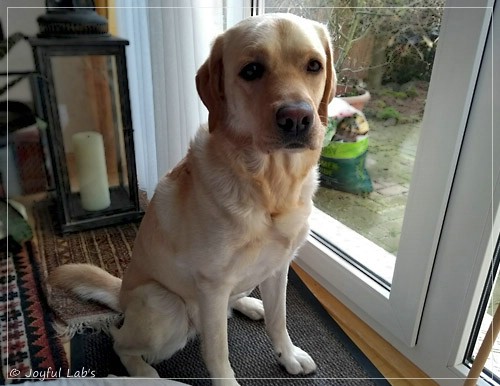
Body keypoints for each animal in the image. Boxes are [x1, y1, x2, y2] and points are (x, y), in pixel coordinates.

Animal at [49, 13, 336, 384]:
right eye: (251, 70)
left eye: (314, 65)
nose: (297, 118)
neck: (270, 185)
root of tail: (123, 291)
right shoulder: (212, 287)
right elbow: (217, 352)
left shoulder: (278, 268)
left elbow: (279, 320)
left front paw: (287, 355)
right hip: (165, 307)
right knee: (119, 340)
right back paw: (145, 373)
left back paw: (248, 304)